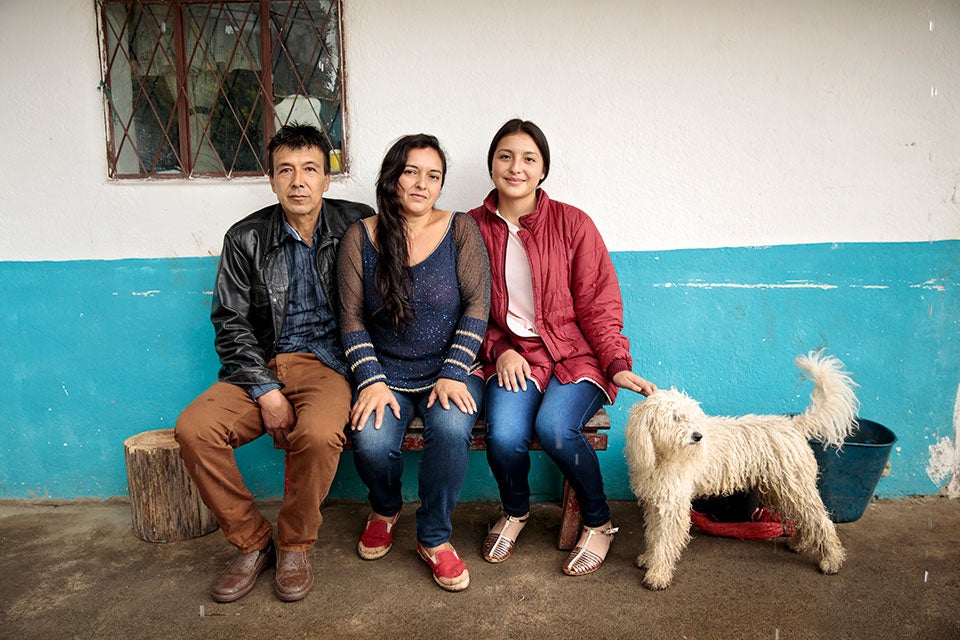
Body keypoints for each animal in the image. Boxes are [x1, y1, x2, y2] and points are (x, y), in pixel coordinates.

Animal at [628, 350, 860, 592]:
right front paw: (648, 559)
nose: (698, 436)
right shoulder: (655, 500)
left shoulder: (672, 504)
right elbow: (654, 535)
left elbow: (664, 541)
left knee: (821, 521)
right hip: (781, 490)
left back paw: (832, 560)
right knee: (805, 518)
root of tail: (793, 425)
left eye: (690, 417)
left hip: (794, 487)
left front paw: (658, 574)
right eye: (675, 418)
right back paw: (799, 543)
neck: (660, 456)